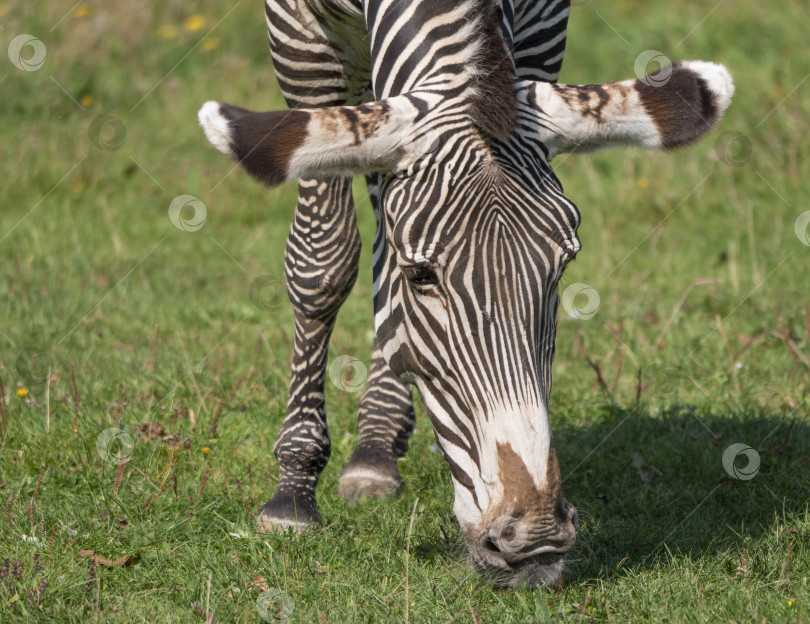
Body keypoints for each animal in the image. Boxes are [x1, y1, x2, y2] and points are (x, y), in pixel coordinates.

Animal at [197, 0, 732, 584]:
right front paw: (293, 494)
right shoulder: (300, 43)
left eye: (564, 265)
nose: (535, 540)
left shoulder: (542, 37)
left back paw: (377, 442)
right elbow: (323, 261)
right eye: (421, 275)